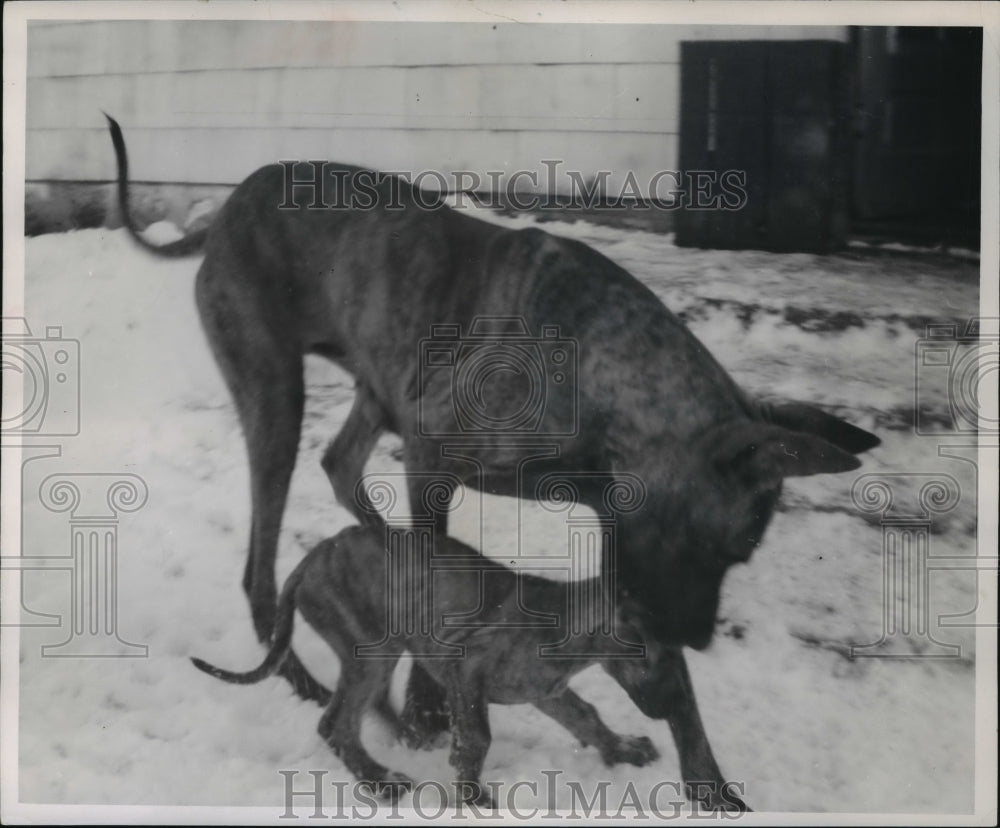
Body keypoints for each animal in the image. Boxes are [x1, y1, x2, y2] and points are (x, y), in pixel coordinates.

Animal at [105, 113, 880, 752]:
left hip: (380, 382)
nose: (695, 640)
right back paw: (299, 676)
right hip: (275, 396)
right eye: (731, 548)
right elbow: (434, 578)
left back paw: (373, 546)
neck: (603, 375)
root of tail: (223, 214)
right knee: (263, 565)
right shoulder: (432, 455)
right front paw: (425, 714)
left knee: (341, 466)